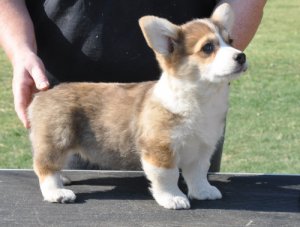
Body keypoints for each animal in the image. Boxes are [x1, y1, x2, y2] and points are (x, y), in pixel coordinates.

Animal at [29, 3, 247, 209]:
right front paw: (173, 198)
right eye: (208, 47)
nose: (241, 56)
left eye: (231, 41)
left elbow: (198, 173)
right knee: (45, 166)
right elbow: (168, 176)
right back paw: (56, 192)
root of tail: (42, 94)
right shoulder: (160, 150)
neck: (201, 100)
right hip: (57, 139)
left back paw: (62, 179)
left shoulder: (202, 149)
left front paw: (203, 191)